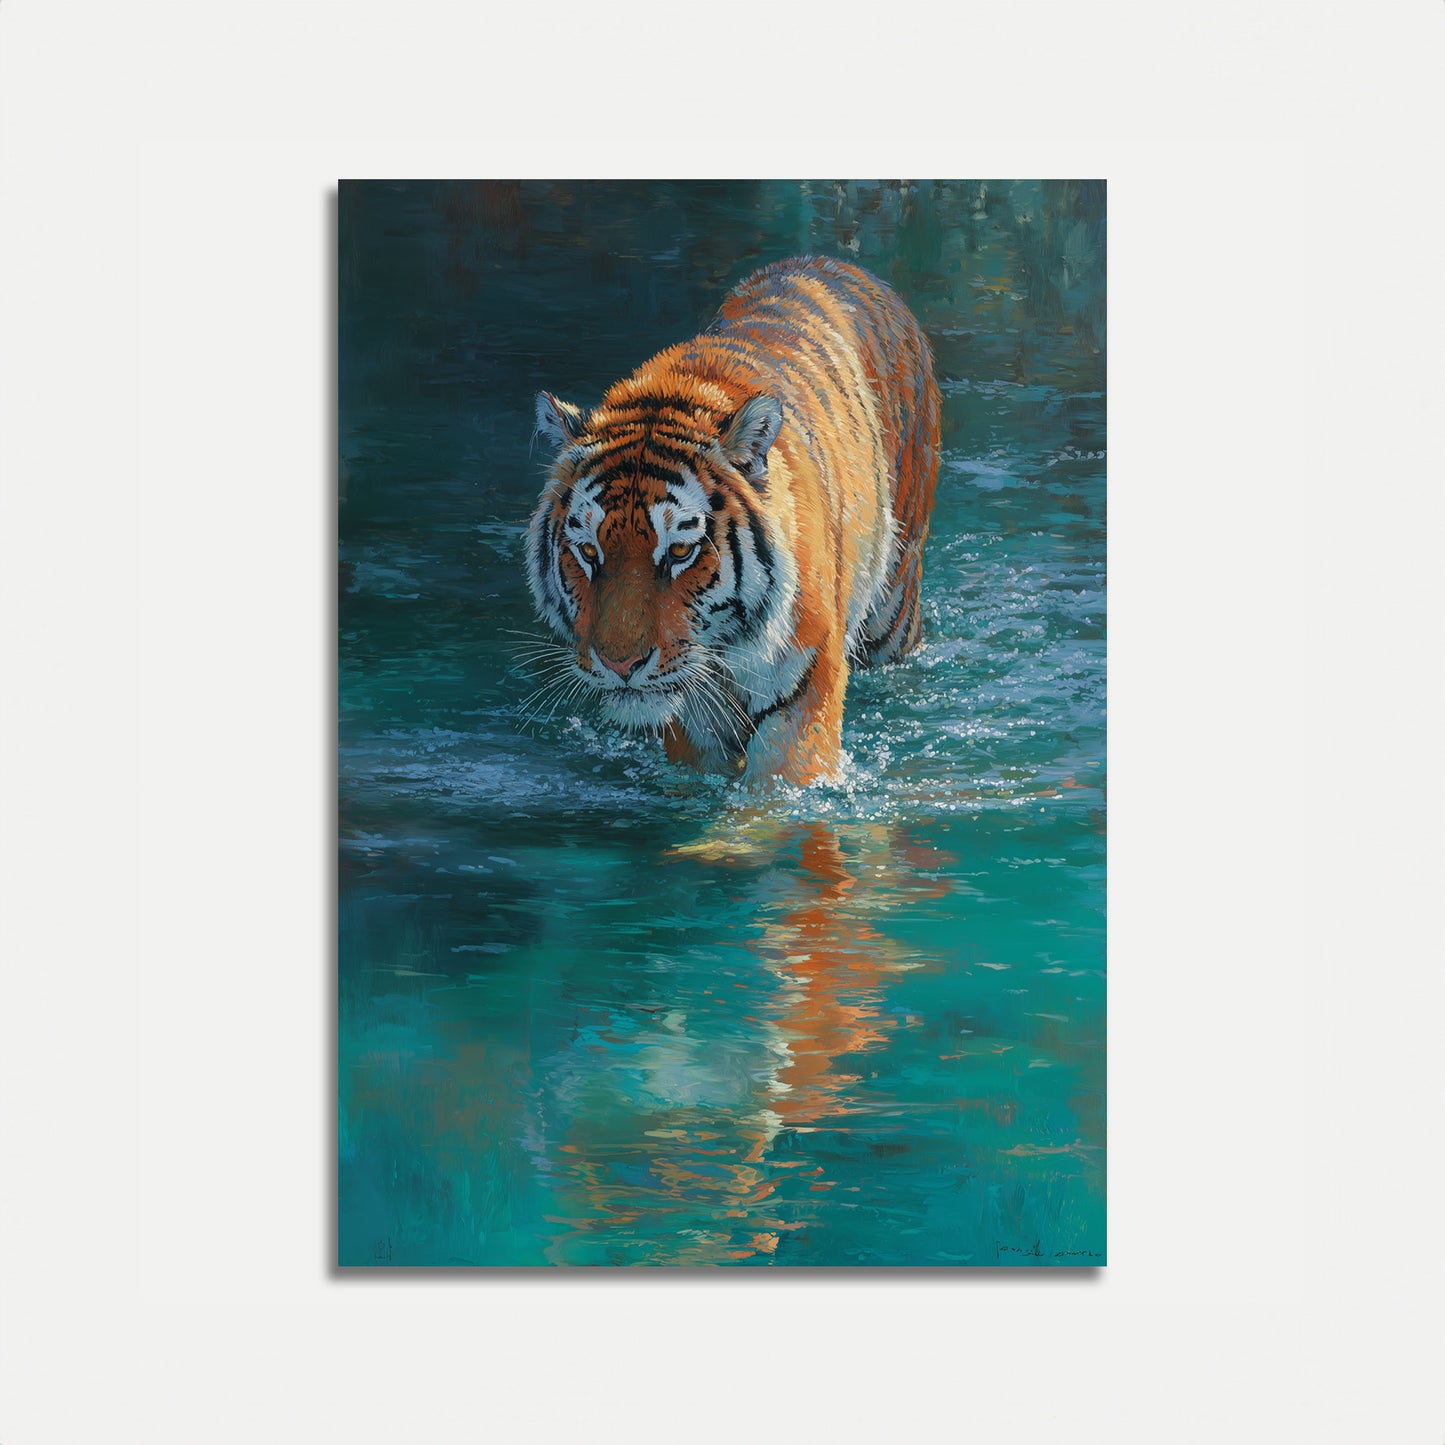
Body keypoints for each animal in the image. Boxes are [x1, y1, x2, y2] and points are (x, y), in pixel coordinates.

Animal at [525, 254, 940, 787]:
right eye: (588, 552)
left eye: (680, 551)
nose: (620, 665)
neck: (725, 651)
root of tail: (832, 261)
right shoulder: (691, 727)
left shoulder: (805, 689)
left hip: (893, 608)